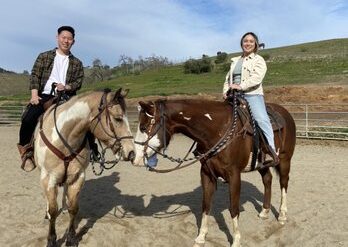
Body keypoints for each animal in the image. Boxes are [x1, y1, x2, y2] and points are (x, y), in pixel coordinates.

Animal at [33, 89, 135, 247]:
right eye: (118, 119)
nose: (131, 152)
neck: (64, 139)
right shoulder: (49, 178)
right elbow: (53, 210)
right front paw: (51, 240)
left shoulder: (77, 177)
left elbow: (73, 208)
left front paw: (71, 238)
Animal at [133, 97, 296, 247]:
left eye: (143, 127)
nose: (134, 158)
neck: (218, 130)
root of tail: (286, 113)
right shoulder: (206, 174)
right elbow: (206, 205)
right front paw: (201, 237)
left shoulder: (234, 175)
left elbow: (233, 208)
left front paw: (236, 240)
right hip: (261, 164)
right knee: (267, 179)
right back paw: (265, 211)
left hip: (285, 160)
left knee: (284, 183)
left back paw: (282, 215)